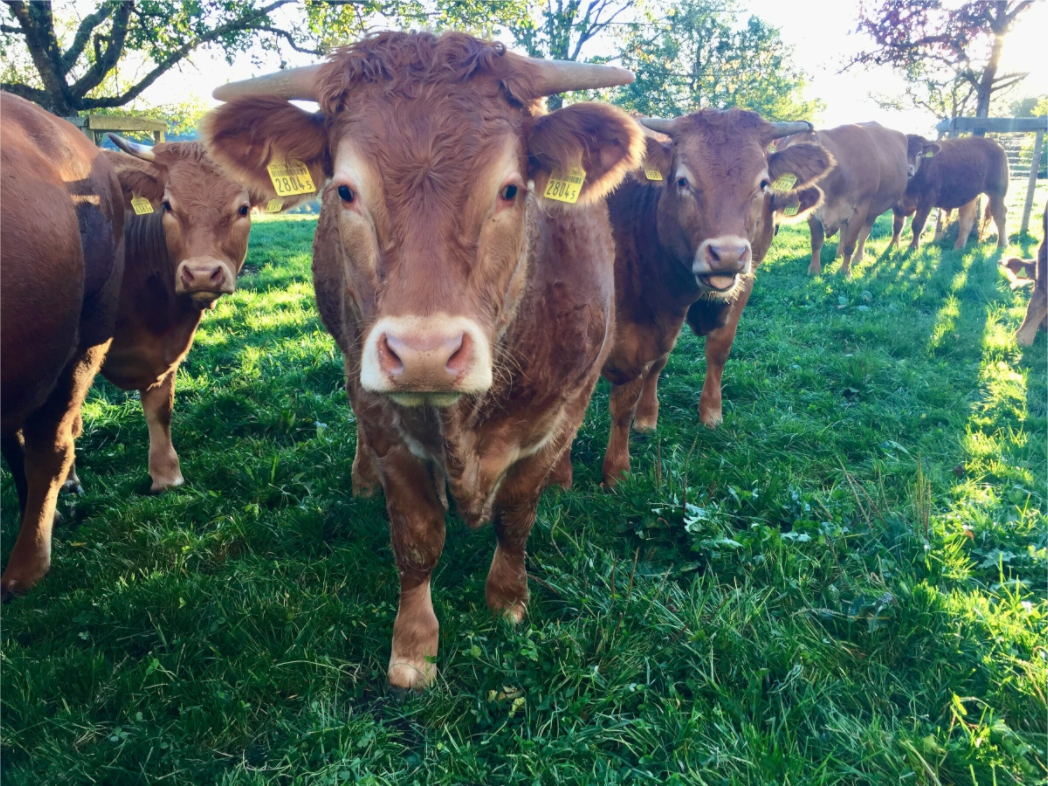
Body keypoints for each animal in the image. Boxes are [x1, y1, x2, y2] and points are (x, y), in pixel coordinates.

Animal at [63, 135, 273, 494]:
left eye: (243, 208)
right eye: (168, 206)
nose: (201, 274)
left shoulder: (167, 351)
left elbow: (161, 410)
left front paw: (166, 477)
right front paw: (67, 481)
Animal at [204, 31, 643, 689]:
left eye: (511, 189)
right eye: (345, 190)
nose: (425, 355)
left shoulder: (564, 411)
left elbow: (517, 512)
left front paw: (507, 600)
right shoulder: (381, 414)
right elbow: (416, 536)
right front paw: (413, 647)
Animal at [597, 111, 833, 487]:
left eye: (763, 184)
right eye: (681, 180)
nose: (727, 254)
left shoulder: (733, 291)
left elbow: (713, 351)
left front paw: (709, 412)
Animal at [777, 123, 909, 276]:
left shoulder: (860, 210)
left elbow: (850, 243)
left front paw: (845, 271)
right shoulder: (813, 211)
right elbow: (816, 241)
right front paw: (814, 270)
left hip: (877, 208)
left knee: (866, 234)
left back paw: (858, 258)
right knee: (844, 230)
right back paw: (839, 254)